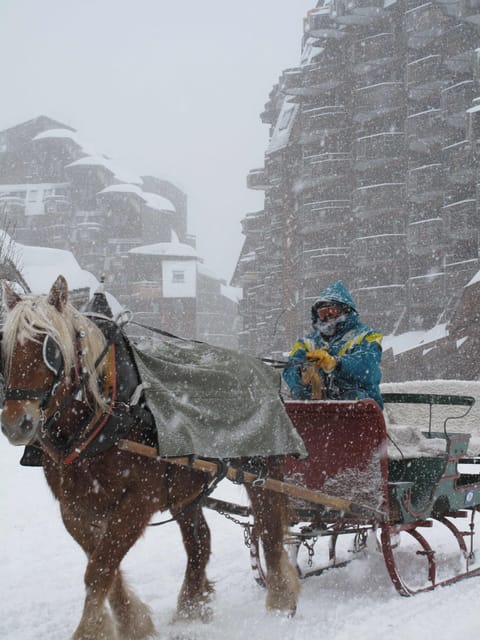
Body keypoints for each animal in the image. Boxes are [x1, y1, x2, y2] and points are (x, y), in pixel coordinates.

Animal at [0, 278, 300, 640]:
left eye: (50, 348)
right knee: (200, 542)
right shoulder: (74, 507)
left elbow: (100, 567)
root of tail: (265, 369)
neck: (105, 413)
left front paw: (92, 629)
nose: (16, 422)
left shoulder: (139, 500)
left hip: (261, 469)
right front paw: (132, 621)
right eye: (5, 349)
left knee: (269, 529)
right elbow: (103, 566)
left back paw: (281, 598)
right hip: (185, 490)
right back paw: (191, 608)